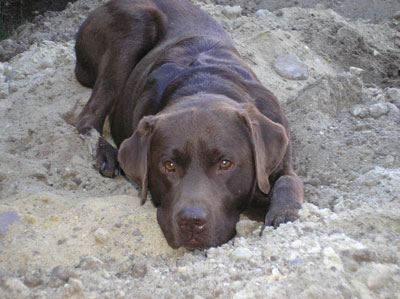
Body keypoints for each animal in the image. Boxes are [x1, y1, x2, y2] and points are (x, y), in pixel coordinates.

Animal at [74, 0, 304, 250]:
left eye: (225, 163)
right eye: (169, 166)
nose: (191, 222)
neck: (203, 84)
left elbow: (288, 181)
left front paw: (282, 214)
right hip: (134, 26)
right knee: (88, 115)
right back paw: (104, 152)